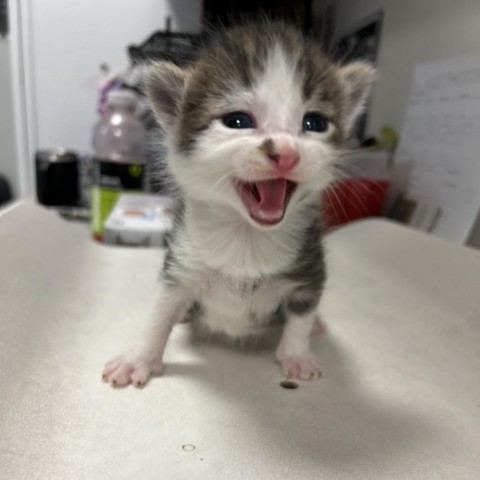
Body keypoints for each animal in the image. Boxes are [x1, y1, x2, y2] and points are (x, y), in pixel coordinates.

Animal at [102, 20, 376, 386]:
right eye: (237, 121)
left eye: (315, 123)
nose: (286, 153)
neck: (248, 237)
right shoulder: (181, 265)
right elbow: (159, 313)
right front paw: (138, 359)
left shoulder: (310, 268)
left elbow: (301, 315)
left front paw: (297, 355)